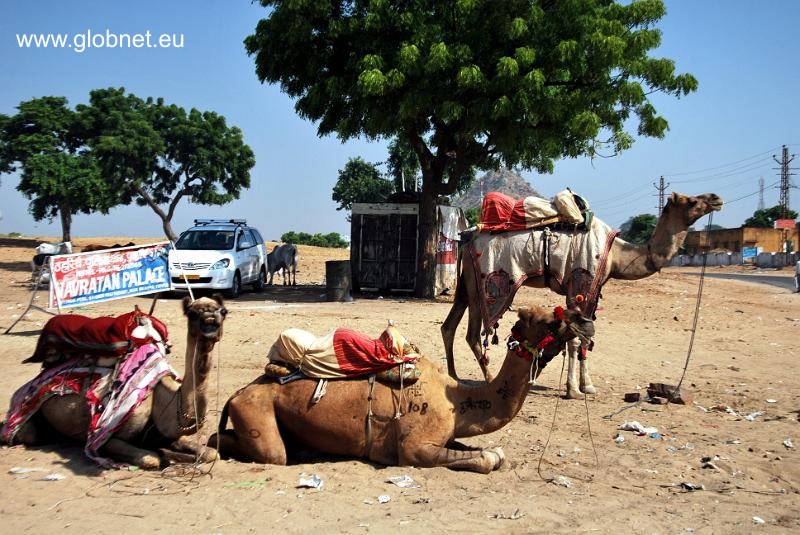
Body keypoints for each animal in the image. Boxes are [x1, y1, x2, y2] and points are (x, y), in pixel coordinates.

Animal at [2, 296, 228, 472]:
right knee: (30, 433)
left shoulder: (162, 434)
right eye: (192, 313)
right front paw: (164, 455)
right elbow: (151, 458)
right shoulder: (106, 438)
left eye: (223, 311)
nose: (210, 321)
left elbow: (212, 453)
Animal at [208, 304, 592, 476]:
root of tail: (237, 393)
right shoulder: (414, 449)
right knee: (254, 448)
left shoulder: (446, 436)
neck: (458, 403)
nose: (585, 321)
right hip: (257, 414)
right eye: (549, 321)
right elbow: (487, 458)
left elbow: (491, 451)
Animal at [440, 192, 720, 398]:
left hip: (466, 284)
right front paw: (573, 390)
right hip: (484, 286)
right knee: (473, 334)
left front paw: (588, 386)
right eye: (691, 200)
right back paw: (488, 379)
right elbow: (576, 339)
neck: (617, 255)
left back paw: (453, 376)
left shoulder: (592, 291)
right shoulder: (580, 284)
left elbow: (587, 337)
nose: (716, 198)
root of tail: (467, 237)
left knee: (449, 326)